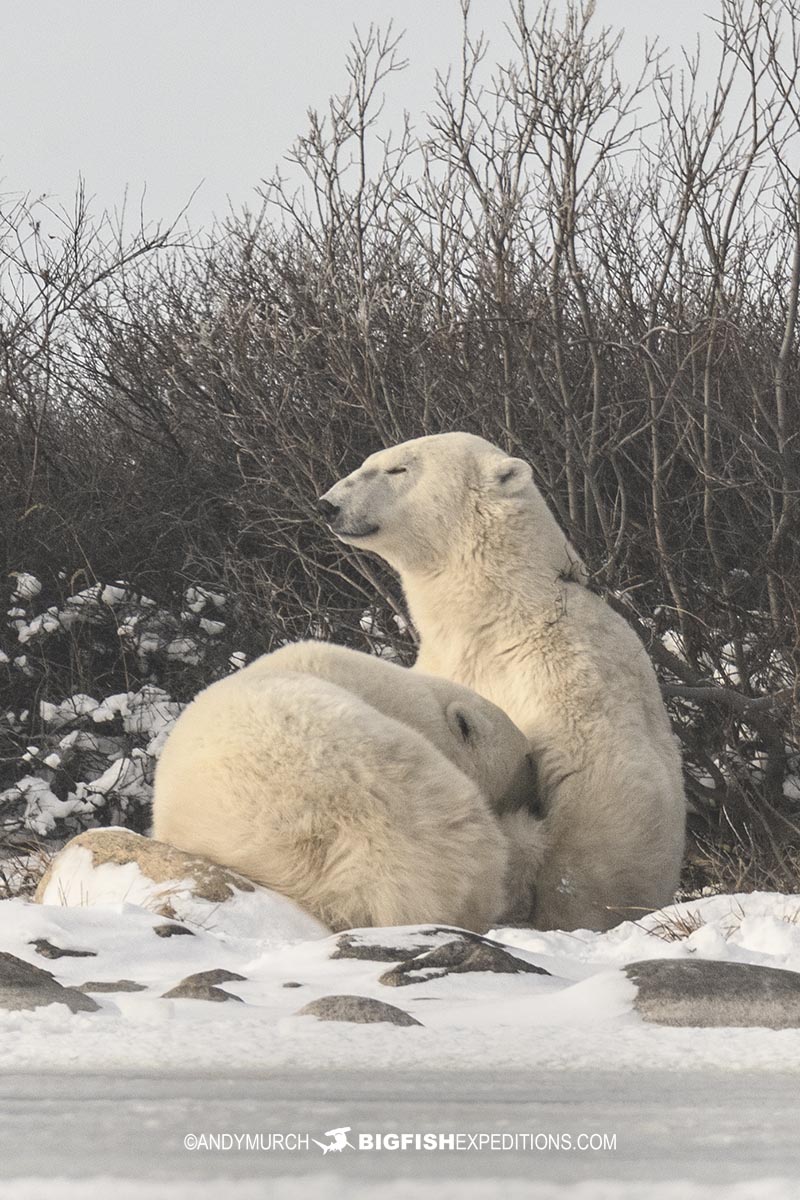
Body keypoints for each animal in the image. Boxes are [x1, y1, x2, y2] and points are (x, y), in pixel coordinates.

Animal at [318, 431, 687, 932]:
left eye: (398, 468)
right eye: (368, 460)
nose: (329, 505)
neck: (498, 617)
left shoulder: (569, 670)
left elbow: (596, 782)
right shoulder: (444, 666)